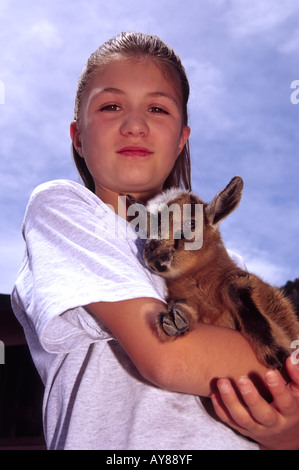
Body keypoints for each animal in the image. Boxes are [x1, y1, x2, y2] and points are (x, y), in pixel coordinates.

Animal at [141, 177, 299, 370]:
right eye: (147, 229)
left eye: (191, 223)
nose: (150, 249)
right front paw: (175, 321)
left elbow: (234, 286)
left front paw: (273, 350)